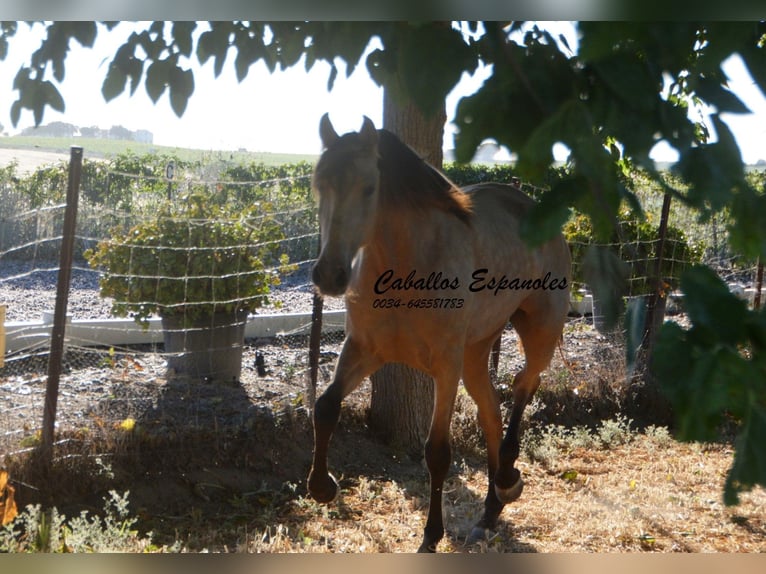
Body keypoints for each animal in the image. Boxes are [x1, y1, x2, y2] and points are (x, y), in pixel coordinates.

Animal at [308, 113, 568, 552]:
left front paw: (431, 536)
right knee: (491, 413)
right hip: (477, 352)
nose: (330, 275)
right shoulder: (363, 350)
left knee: (523, 385)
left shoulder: (445, 367)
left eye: (369, 187)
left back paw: (507, 480)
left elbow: (437, 453)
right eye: (319, 182)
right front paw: (322, 487)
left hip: (540, 332)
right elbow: (325, 406)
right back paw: (490, 512)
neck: (406, 265)